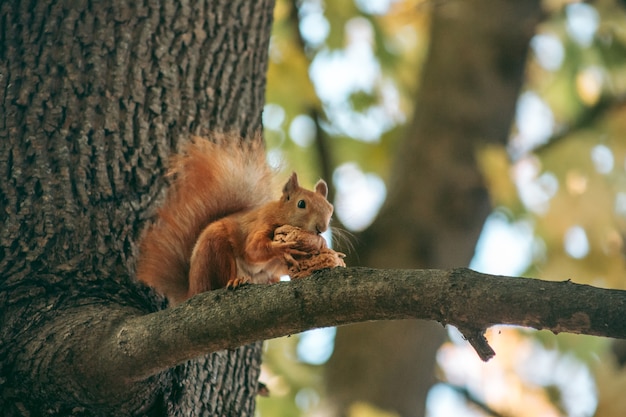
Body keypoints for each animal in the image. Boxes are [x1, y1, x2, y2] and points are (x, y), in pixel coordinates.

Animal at [136, 135, 332, 304]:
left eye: (330, 209)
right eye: (301, 204)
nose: (321, 228)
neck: (280, 214)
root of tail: (191, 290)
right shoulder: (261, 223)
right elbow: (253, 249)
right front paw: (283, 248)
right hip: (215, 250)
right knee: (222, 278)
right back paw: (236, 281)